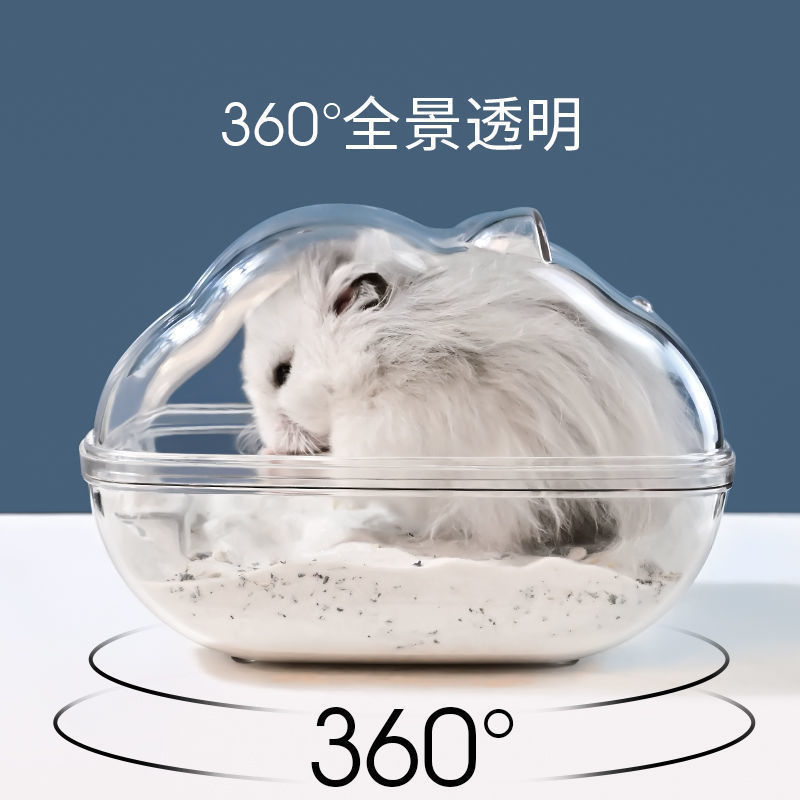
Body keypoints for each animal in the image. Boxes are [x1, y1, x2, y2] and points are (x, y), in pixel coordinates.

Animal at [240, 230, 700, 556]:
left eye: (282, 373)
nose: (267, 440)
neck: (377, 360)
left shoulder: (389, 437)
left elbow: (338, 466)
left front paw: (273, 462)